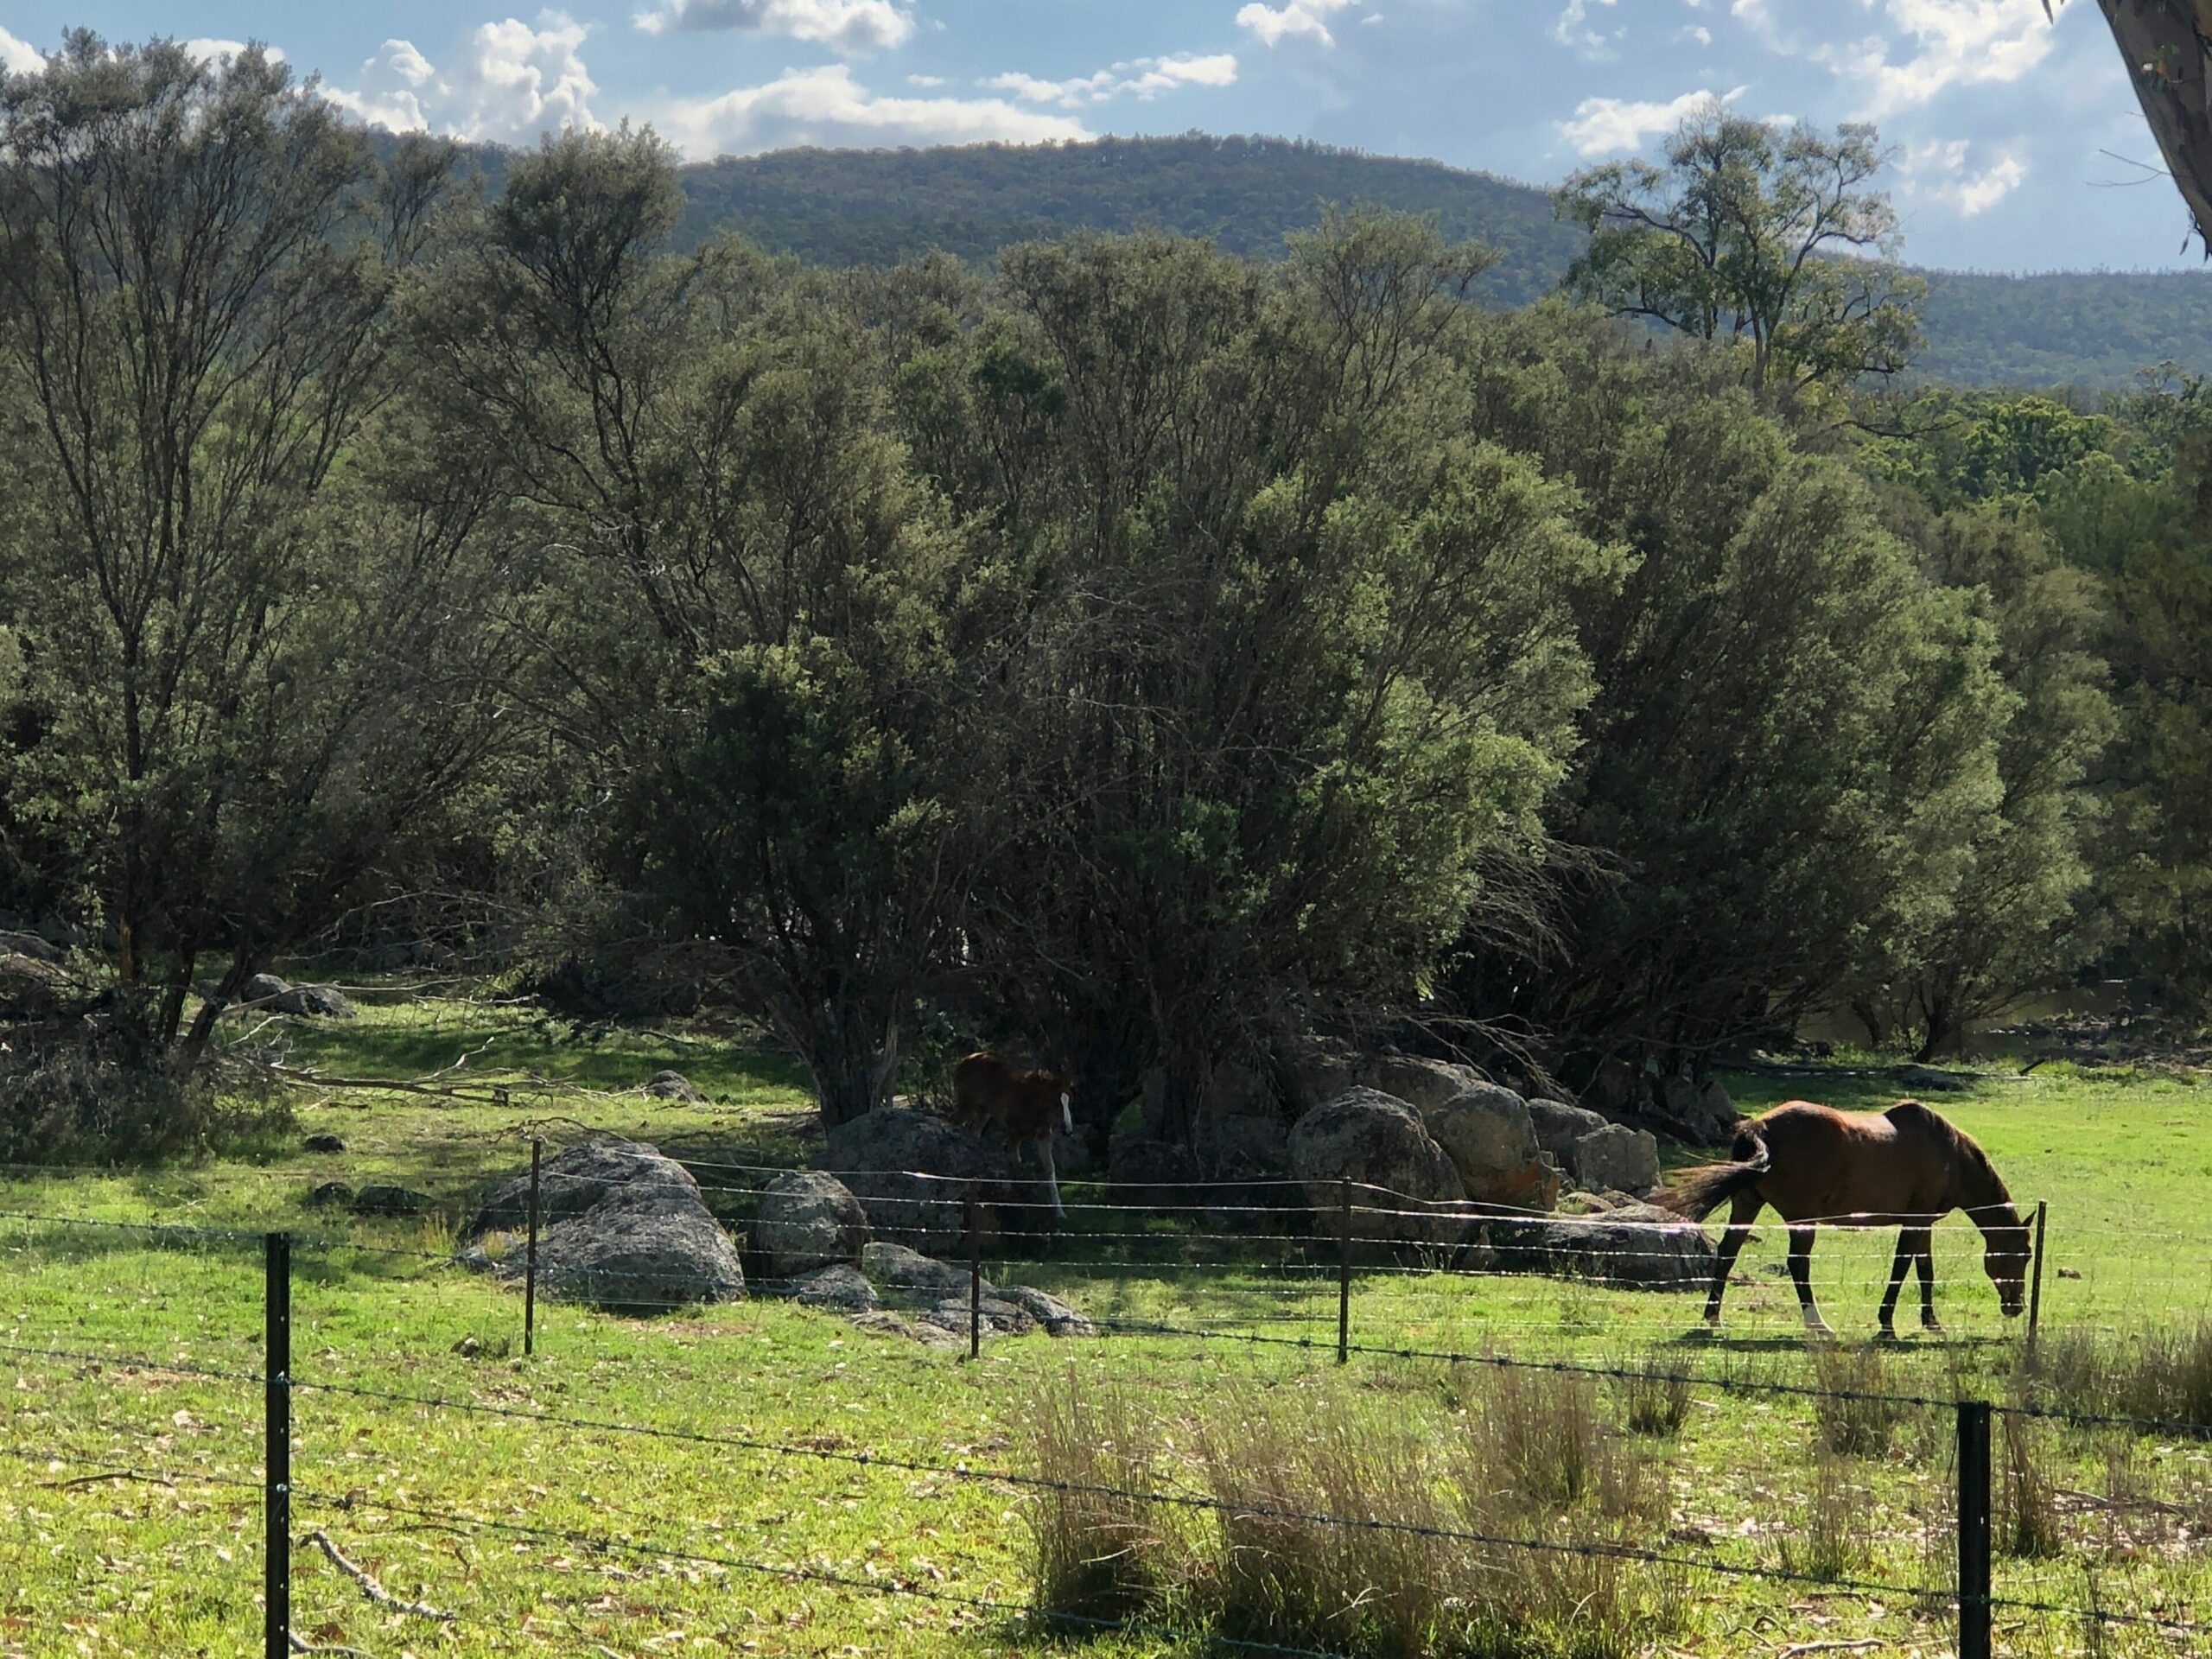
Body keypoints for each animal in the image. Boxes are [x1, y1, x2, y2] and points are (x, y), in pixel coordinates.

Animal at [946, 1057, 1075, 1230]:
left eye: (1070, 1102)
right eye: (1056, 1103)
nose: (1068, 1130)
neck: (1036, 1105)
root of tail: (963, 1061)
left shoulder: (1044, 1136)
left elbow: (1050, 1170)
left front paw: (1059, 1213)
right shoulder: (1014, 1133)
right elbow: (1016, 1165)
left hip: (983, 1113)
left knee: (972, 1132)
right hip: (967, 1105)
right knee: (951, 1121)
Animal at [1663, 1106, 2025, 1336]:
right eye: (2023, 1256)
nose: (2017, 1307)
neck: (1949, 1154)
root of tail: (1760, 1127)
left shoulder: (1923, 1223)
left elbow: (1925, 1271)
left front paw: (1932, 1322)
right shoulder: (1914, 1221)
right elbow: (1902, 1267)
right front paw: (1886, 1323)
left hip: (1746, 1205)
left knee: (1727, 1254)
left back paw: (1713, 1317)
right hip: (1802, 1219)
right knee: (1798, 1264)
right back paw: (1817, 1324)